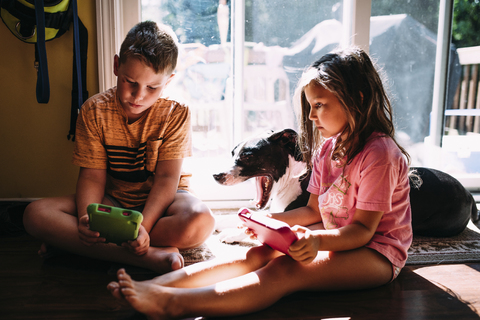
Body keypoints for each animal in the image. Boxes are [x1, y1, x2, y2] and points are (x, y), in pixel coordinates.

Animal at [215, 128, 480, 238]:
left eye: (248, 155)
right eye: (232, 152)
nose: (216, 175)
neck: (294, 175)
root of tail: (469, 195)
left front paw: (234, 233)